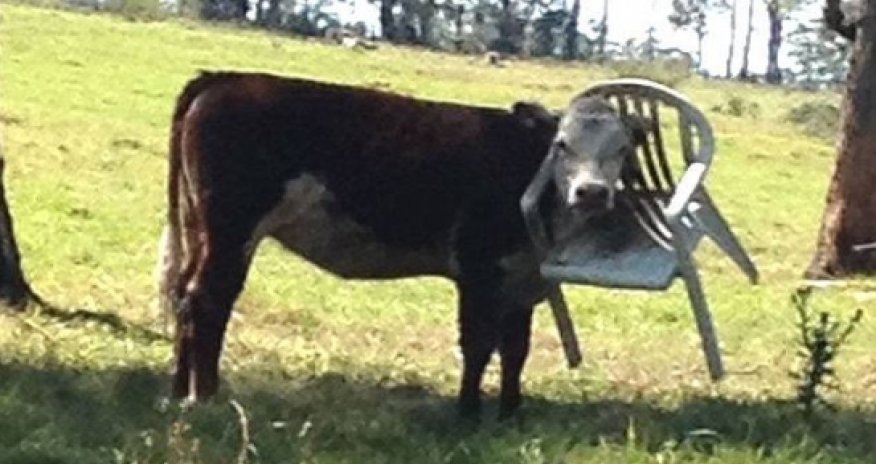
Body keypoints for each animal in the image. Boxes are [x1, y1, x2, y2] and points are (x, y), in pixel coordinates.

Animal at [158, 71, 644, 419]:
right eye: (561, 145)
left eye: (622, 149)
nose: (592, 192)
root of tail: (224, 79)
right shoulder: (478, 269)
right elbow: (478, 344)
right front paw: (468, 413)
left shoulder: (523, 279)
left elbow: (515, 350)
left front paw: (510, 413)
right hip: (231, 231)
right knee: (208, 300)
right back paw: (206, 396)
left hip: (200, 229)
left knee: (183, 295)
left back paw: (179, 390)